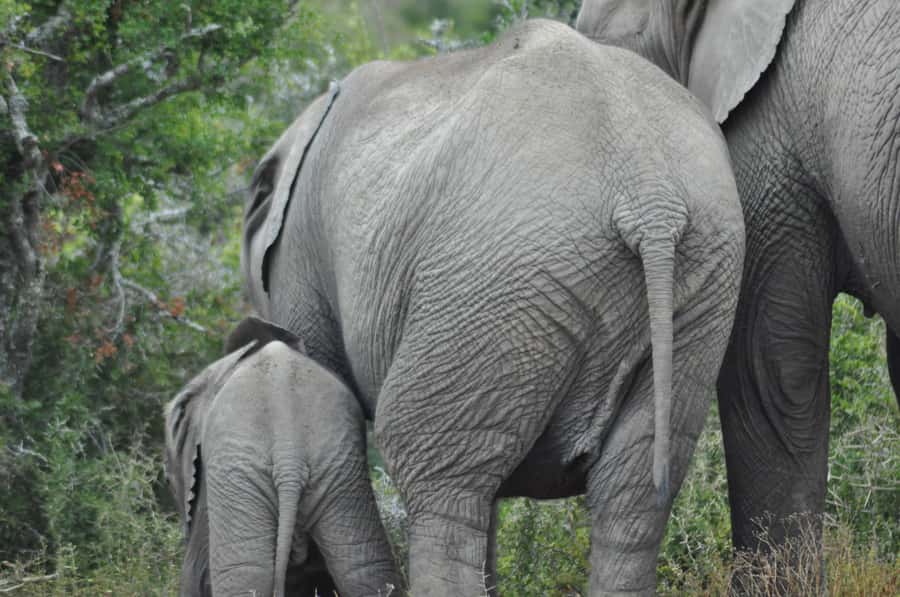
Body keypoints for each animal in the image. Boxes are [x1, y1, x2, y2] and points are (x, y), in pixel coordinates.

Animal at [163, 317, 401, 596]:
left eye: (168, 481)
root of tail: (290, 458)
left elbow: (194, 576)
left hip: (242, 472)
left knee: (245, 572)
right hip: (341, 467)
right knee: (364, 566)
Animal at [242, 18, 744, 596]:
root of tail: (649, 196)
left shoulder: (300, 261)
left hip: (497, 278)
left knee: (435, 474)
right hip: (699, 281)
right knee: (631, 494)